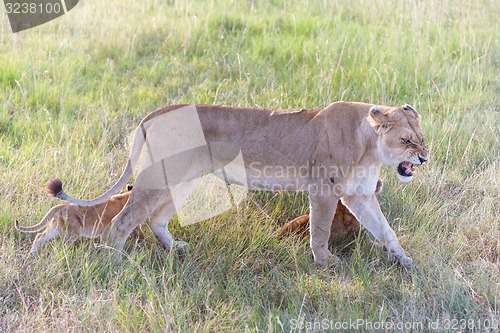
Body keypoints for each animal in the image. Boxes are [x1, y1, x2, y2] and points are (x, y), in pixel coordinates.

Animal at [48, 101, 428, 264]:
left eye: (422, 138)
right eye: (407, 140)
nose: (424, 158)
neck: (369, 147)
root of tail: (158, 111)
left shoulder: (359, 195)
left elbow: (386, 231)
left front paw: (407, 263)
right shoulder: (323, 189)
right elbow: (320, 230)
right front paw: (325, 263)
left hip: (180, 180)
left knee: (156, 218)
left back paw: (176, 249)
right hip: (157, 178)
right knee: (122, 220)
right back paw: (115, 261)